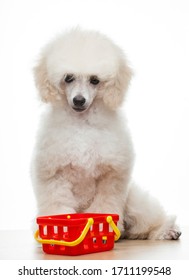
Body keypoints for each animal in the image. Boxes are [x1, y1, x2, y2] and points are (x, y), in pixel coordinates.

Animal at [31, 27, 181, 240]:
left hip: (134, 202)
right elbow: (57, 206)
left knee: (148, 223)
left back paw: (166, 230)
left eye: (95, 80)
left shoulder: (110, 177)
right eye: (68, 78)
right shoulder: (55, 176)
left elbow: (104, 206)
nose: (79, 100)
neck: (82, 124)